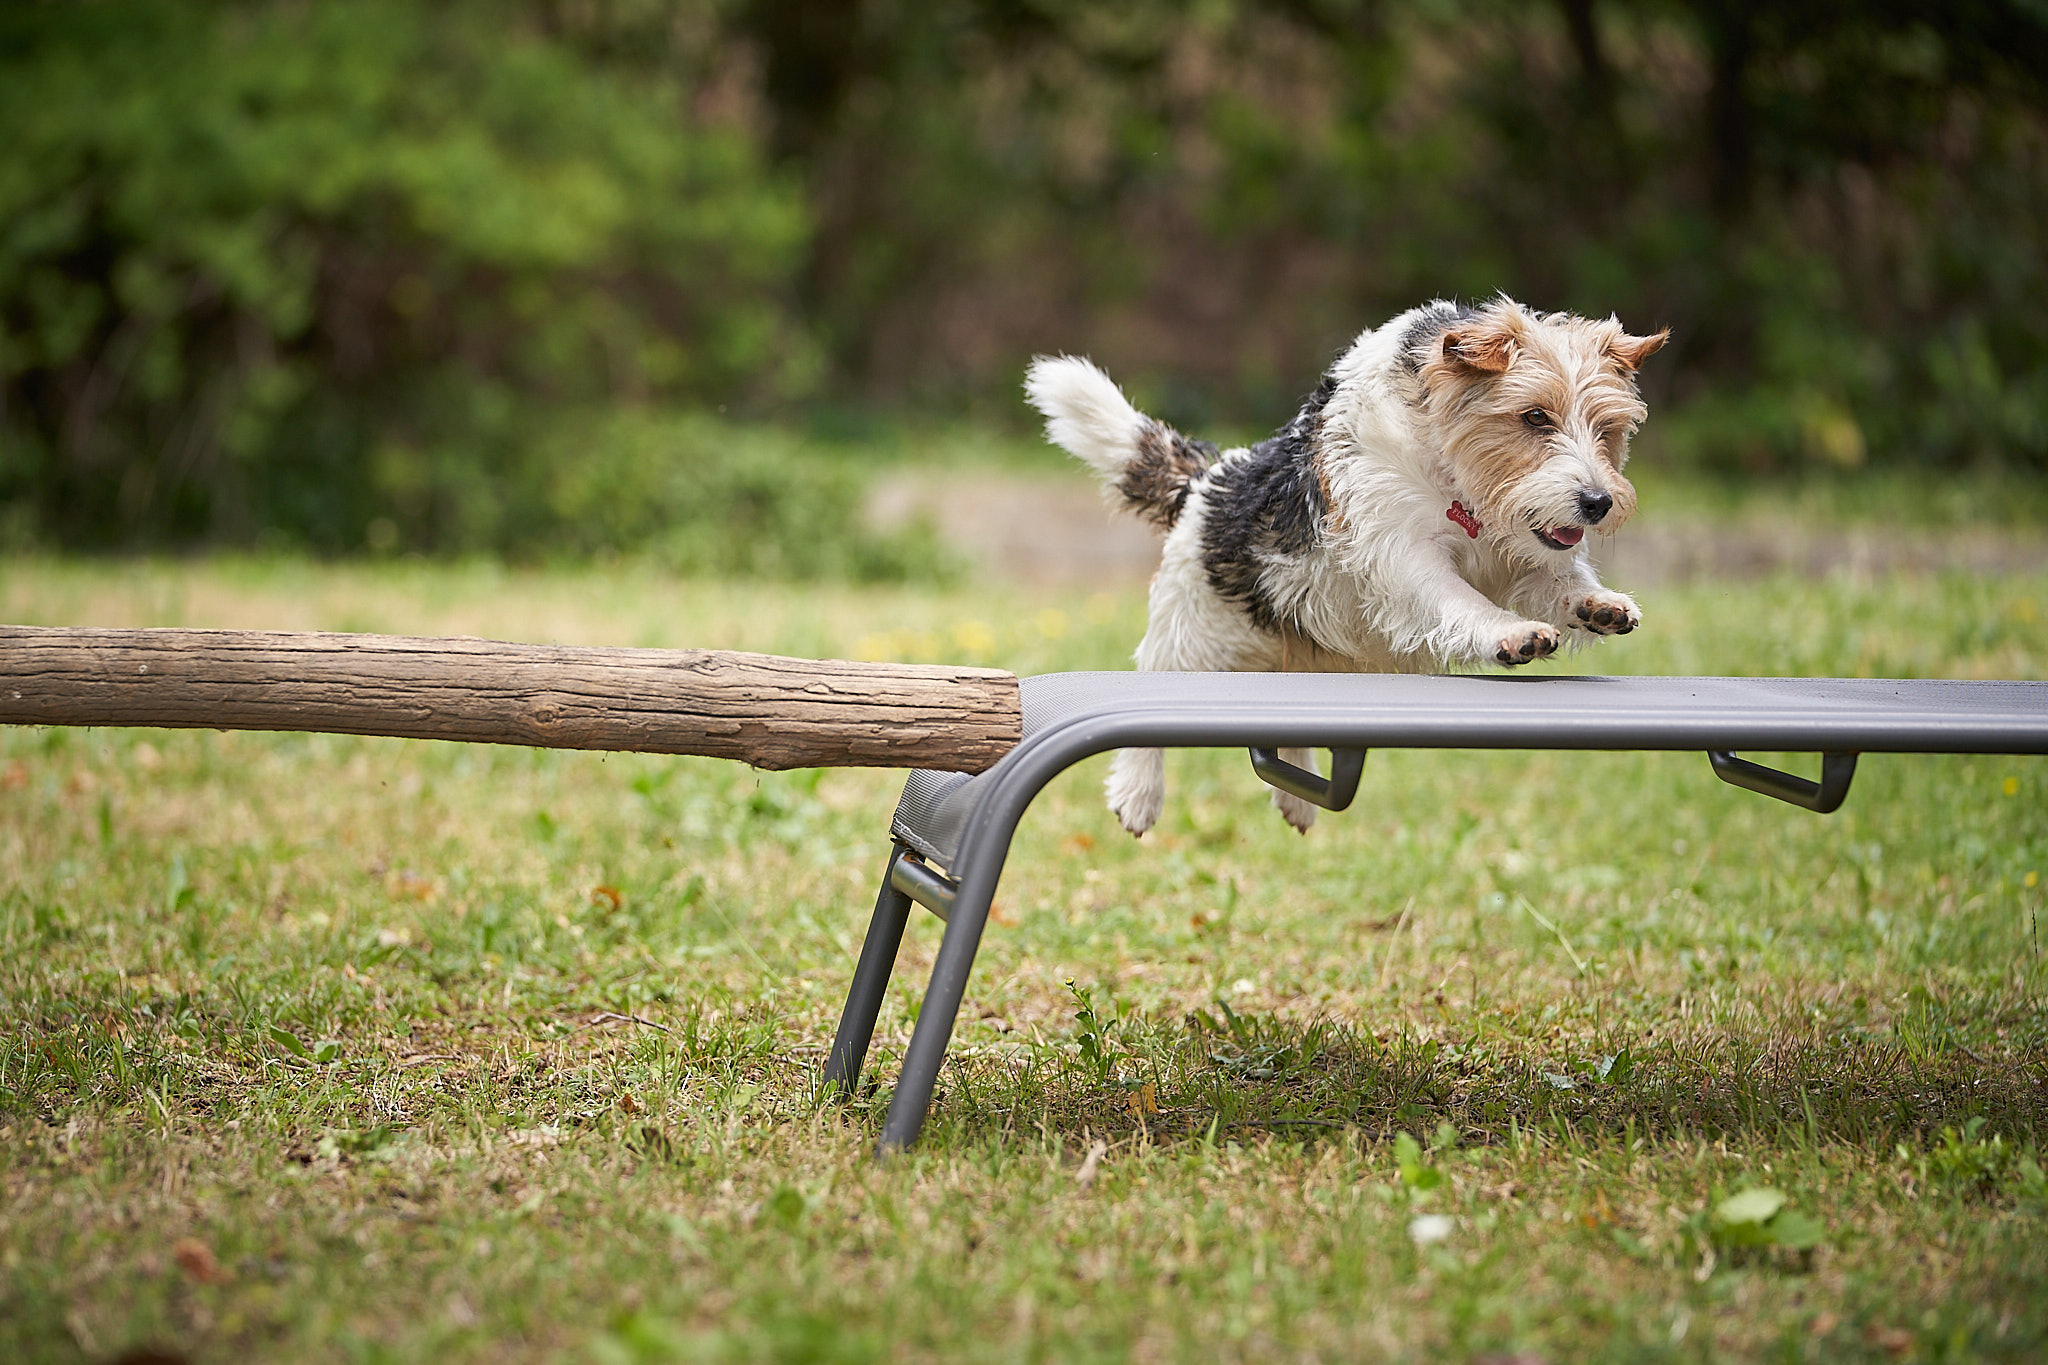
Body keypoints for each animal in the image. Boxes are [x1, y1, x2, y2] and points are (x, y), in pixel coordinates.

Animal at [1024, 294, 1662, 839]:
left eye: (1607, 428)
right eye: (1534, 418)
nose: (1597, 503)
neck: (1457, 478)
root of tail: (1208, 481)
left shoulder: (1526, 557)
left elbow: (1560, 580)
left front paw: (1600, 605)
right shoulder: (1406, 557)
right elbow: (1461, 600)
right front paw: (1511, 633)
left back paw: (1297, 799)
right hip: (1196, 638)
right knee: (1151, 694)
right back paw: (1138, 794)